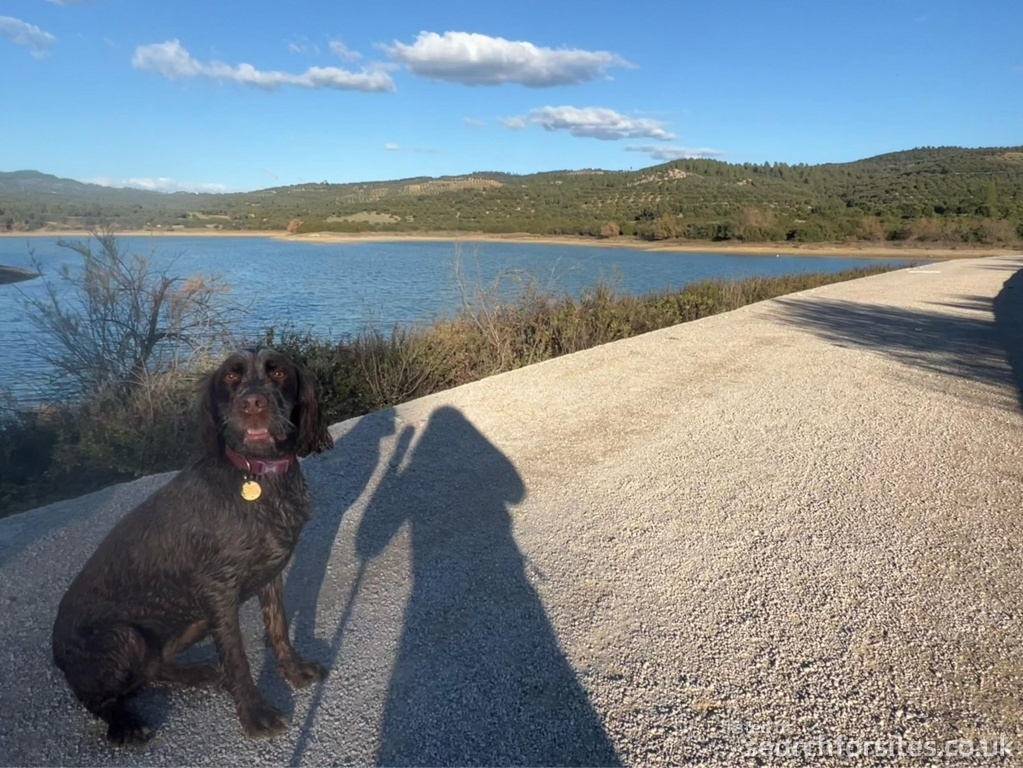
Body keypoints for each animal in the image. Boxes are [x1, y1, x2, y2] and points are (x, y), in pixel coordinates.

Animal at [52, 347, 334, 745]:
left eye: (277, 372)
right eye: (230, 376)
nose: (253, 403)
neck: (256, 476)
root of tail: (57, 655)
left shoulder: (269, 573)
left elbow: (278, 627)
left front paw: (294, 670)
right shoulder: (218, 590)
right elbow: (237, 657)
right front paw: (255, 714)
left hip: (192, 621)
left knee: (152, 667)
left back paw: (197, 673)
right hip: (125, 636)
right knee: (98, 699)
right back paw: (125, 723)